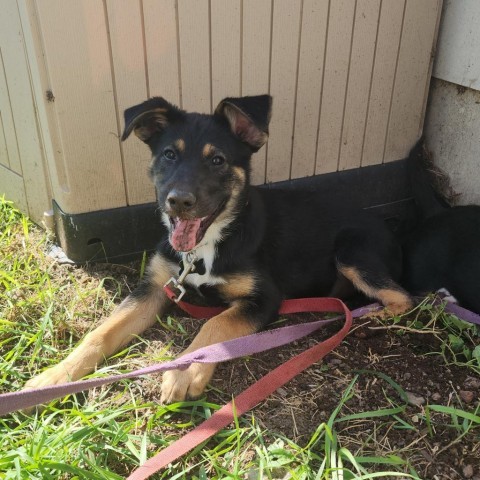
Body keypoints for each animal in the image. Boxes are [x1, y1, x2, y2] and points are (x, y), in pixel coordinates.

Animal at [24, 94, 412, 402]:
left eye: (218, 160)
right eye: (169, 154)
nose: (179, 202)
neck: (206, 247)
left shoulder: (265, 297)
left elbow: (215, 326)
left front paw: (186, 369)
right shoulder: (155, 286)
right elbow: (101, 332)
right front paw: (55, 377)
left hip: (352, 253)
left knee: (404, 297)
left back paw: (369, 316)